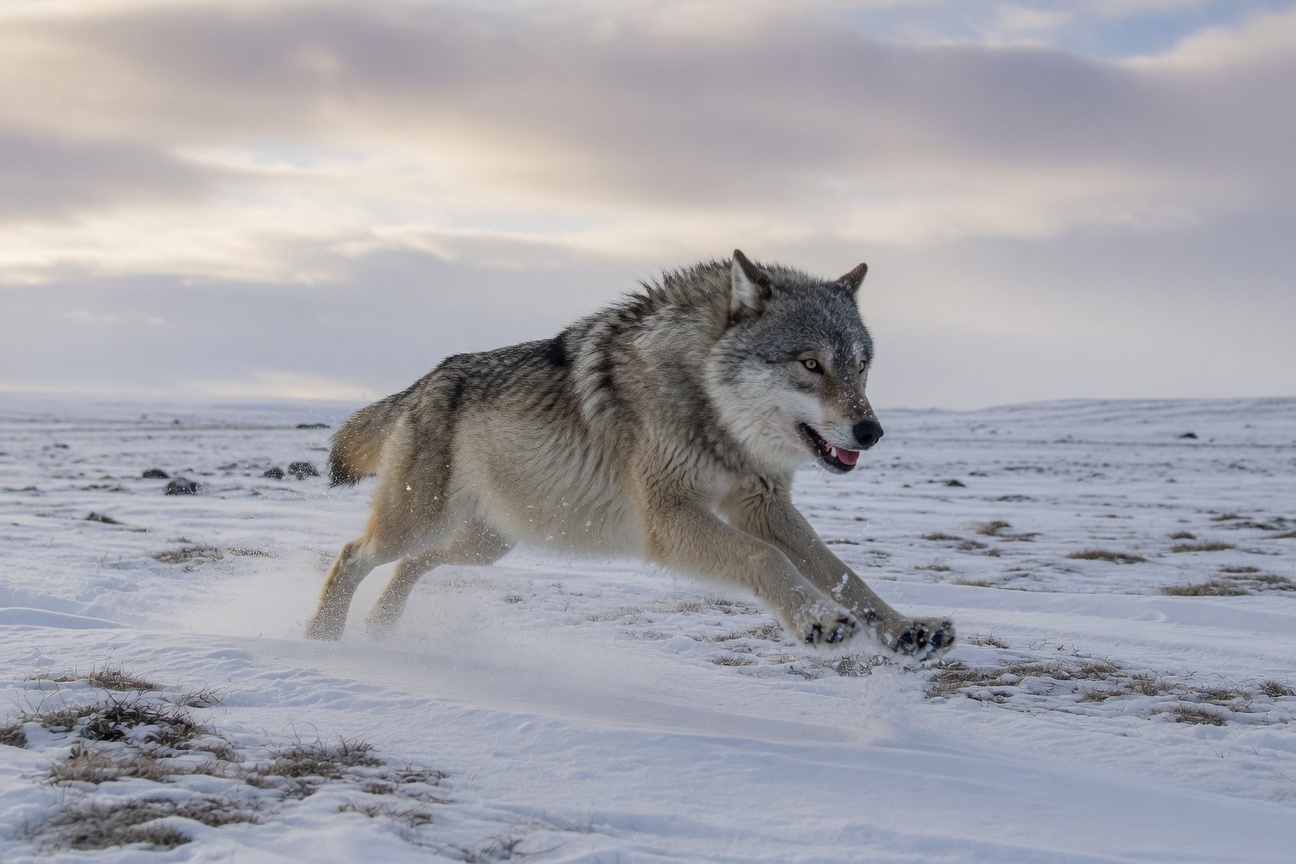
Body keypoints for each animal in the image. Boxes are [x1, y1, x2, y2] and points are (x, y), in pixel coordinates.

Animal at [306, 251, 954, 659]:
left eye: (860, 366)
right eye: (811, 363)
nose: (870, 431)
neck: (705, 401)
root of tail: (428, 379)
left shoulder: (763, 507)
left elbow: (842, 572)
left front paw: (907, 630)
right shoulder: (668, 519)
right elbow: (765, 560)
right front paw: (817, 621)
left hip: (487, 543)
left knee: (411, 567)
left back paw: (381, 627)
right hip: (422, 523)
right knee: (352, 554)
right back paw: (320, 636)